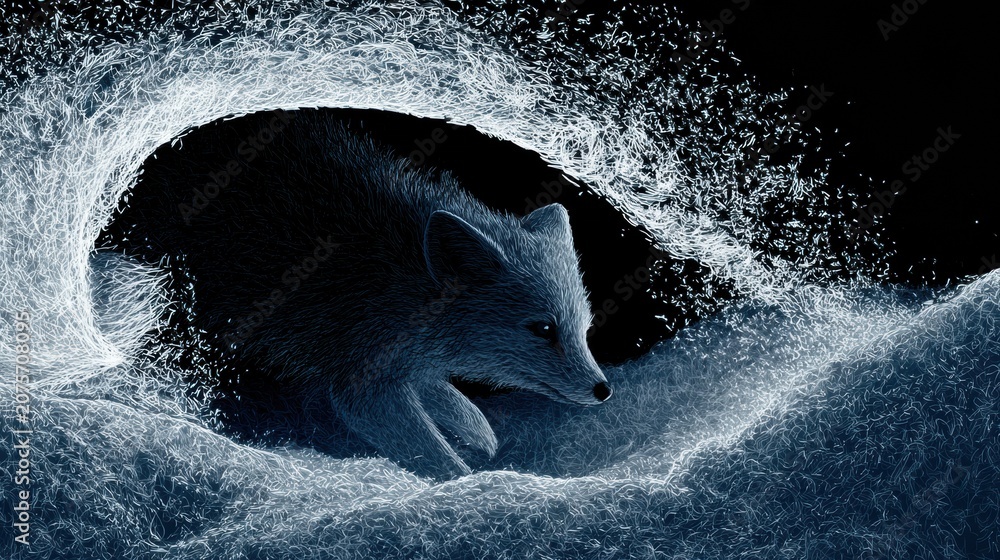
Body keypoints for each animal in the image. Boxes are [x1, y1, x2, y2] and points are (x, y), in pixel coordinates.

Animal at [97, 110, 612, 479]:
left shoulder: (396, 361)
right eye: (542, 328)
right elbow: (432, 455)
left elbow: (444, 396)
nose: (603, 389)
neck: (398, 275)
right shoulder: (360, 383)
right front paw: (469, 485)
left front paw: (480, 435)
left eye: (585, 328)